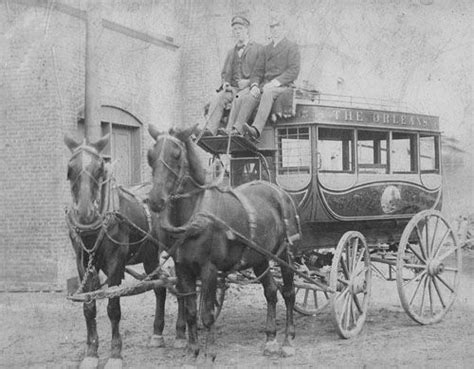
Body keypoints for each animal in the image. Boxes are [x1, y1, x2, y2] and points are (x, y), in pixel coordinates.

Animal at [64, 133, 186, 368]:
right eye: (69, 169)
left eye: (100, 167)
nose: (84, 212)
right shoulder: (82, 262)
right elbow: (88, 306)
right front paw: (91, 353)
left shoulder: (115, 261)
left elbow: (113, 308)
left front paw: (115, 354)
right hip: (150, 255)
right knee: (160, 287)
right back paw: (158, 333)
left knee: (182, 284)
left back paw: (181, 332)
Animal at [146, 124, 298, 360]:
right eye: (150, 156)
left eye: (177, 154)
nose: (155, 200)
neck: (195, 215)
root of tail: (279, 191)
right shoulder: (183, 268)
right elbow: (191, 312)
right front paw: (192, 351)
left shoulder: (209, 269)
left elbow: (207, 314)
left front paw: (209, 354)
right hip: (260, 257)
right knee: (271, 291)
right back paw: (270, 338)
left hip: (284, 254)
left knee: (289, 292)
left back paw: (288, 340)